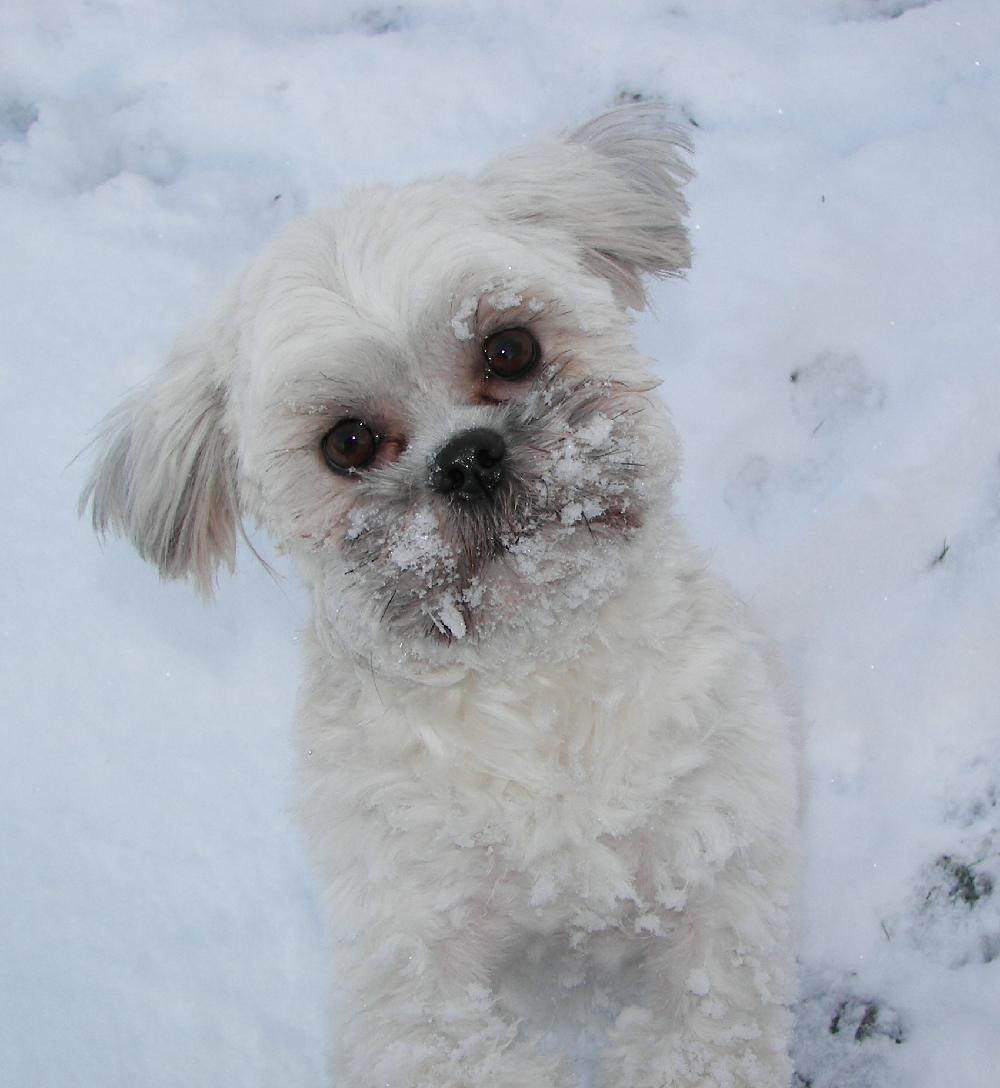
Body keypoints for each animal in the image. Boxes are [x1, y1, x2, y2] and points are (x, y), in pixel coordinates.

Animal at [84, 103, 796, 1088]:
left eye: (510, 348)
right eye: (347, 443)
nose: (467, 457)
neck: (532, 671)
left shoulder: (713, 859)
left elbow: (705, 1013)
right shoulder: (412, 953)